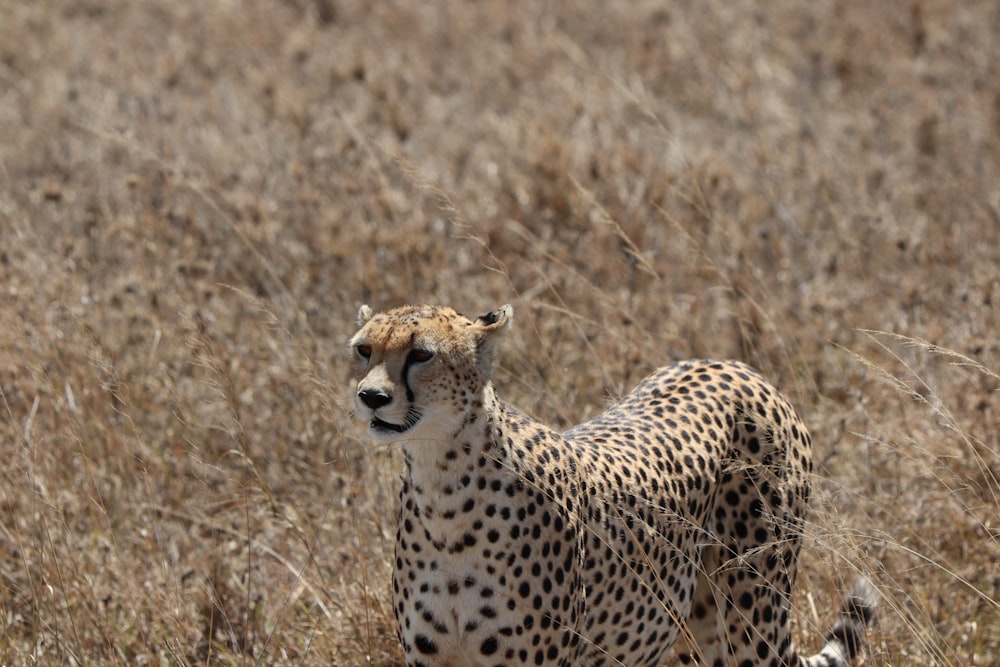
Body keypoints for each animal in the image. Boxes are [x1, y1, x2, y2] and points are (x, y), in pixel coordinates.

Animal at [350, 304, 876, 667]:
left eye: (421, 354)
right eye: (364, 349)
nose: (370, 397)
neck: (443, 484)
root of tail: (734, 366)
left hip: (751, 617)